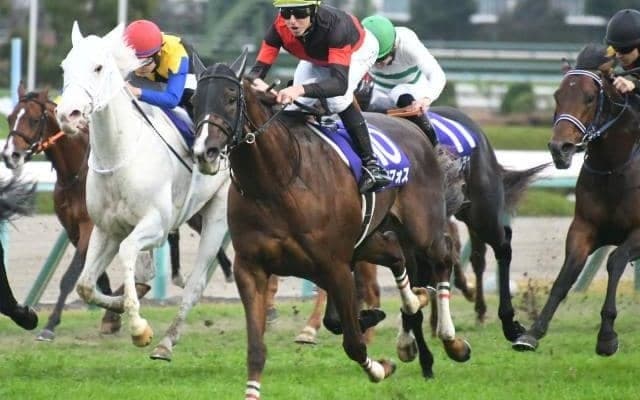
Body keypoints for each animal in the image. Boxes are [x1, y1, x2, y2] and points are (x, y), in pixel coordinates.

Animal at [2, 85, 233, 347]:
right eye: (10, 118)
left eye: (33, 119)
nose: (10, 155)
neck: (75, 172)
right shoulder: (76, 229)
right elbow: (95, 277)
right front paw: (112, 313)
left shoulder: (89, 227)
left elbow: (69, 278)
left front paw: (50, 325)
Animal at [54, 21, 229, 351]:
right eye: (64, 67)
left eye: (98, 67)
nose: (67, 115)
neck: (119, 155)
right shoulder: (105, 228)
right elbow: (85, 285)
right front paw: (119, 306)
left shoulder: (156, 225)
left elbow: (127, 252)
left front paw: (139, 327)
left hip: (219, 213)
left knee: (198, 281)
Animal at [191, 51, 471, 398]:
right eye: (194, 101)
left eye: (230, 98)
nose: (205, 152)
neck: (277, 182)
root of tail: (410, 125)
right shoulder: (251, 268)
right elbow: (258, 348)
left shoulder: (334, 266)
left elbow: (353, 342)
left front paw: (380, 367)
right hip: (367, 239)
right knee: (395, 252)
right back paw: (412, 305)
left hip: (422, 229)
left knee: (443, 257)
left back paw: (451, 339)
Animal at [513, 62, 640, 355]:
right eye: (557, 96)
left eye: (590, 98)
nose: (560, 148)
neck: (613, 168)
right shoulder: (584, 228)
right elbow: (566, 274)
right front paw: (532, 332)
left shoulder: (639, 232)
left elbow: (615, 260)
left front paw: (606, 336)